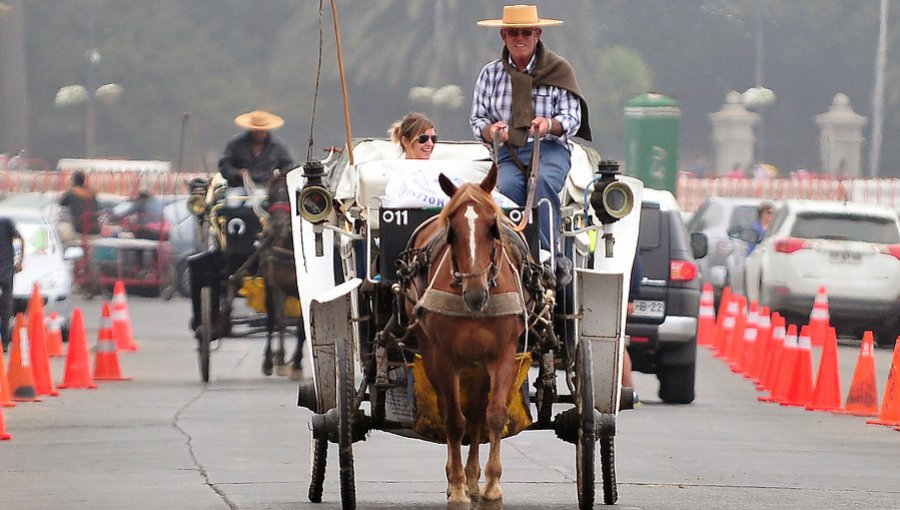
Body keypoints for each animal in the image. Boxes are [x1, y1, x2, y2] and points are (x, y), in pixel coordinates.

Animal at [402, 165, 528, 504]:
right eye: (452, 232)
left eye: (493, 228)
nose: (475, 293)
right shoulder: (444, 360)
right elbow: (453, 421)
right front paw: (457, 488)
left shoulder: (502, 355)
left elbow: (493, 414)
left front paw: (491, 485)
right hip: (433, 355)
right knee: (453, 412)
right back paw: (457, 478)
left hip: (480, 365)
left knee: (475, 412)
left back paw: (473, 479)